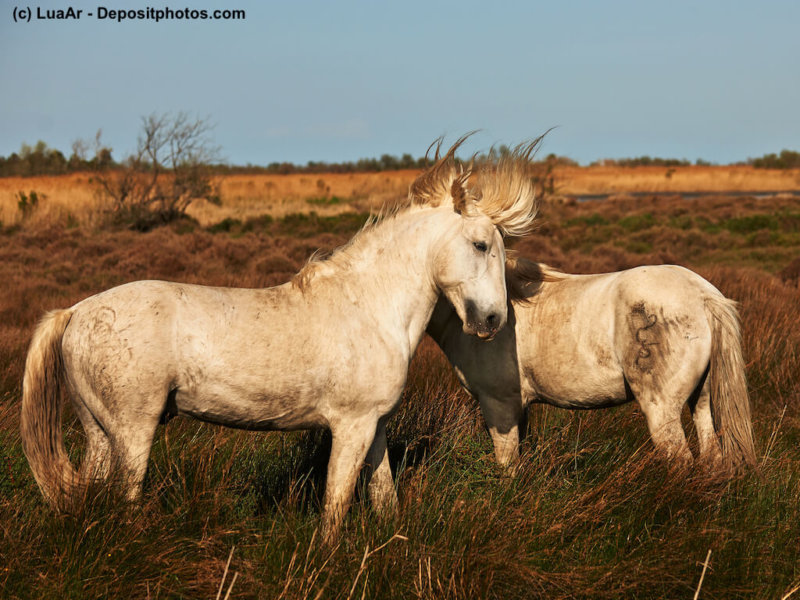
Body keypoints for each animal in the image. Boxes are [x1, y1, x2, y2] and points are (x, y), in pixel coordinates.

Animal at [20, 138, 539, 540]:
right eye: (480, 245)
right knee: (124, 499)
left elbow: (383, 496)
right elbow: (335, 505)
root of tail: (74, 312)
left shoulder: (373, 428)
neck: (370, 307)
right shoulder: (350, 427)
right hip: (132, 432)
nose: (492, 319)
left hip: (99, 433)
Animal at [427, 257, 757, 471]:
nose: (486, 325)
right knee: (712, 454)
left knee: (681, 460)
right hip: (701, 398)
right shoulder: (520, 407)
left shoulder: (499, 406)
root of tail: (703, 295)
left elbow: (508, 466)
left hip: (662, 409)